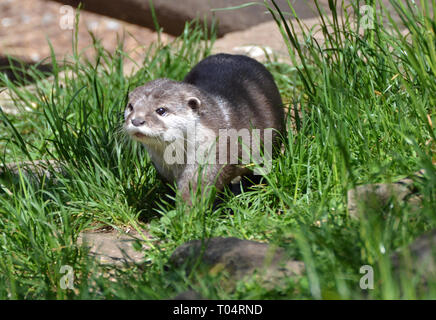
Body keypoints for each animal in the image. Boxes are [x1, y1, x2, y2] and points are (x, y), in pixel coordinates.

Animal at [124, 52, 284, 202]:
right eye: (130, 106)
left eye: (161, 110)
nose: (136, 121)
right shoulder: (162, 168)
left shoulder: (212, 157)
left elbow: (196, 189)